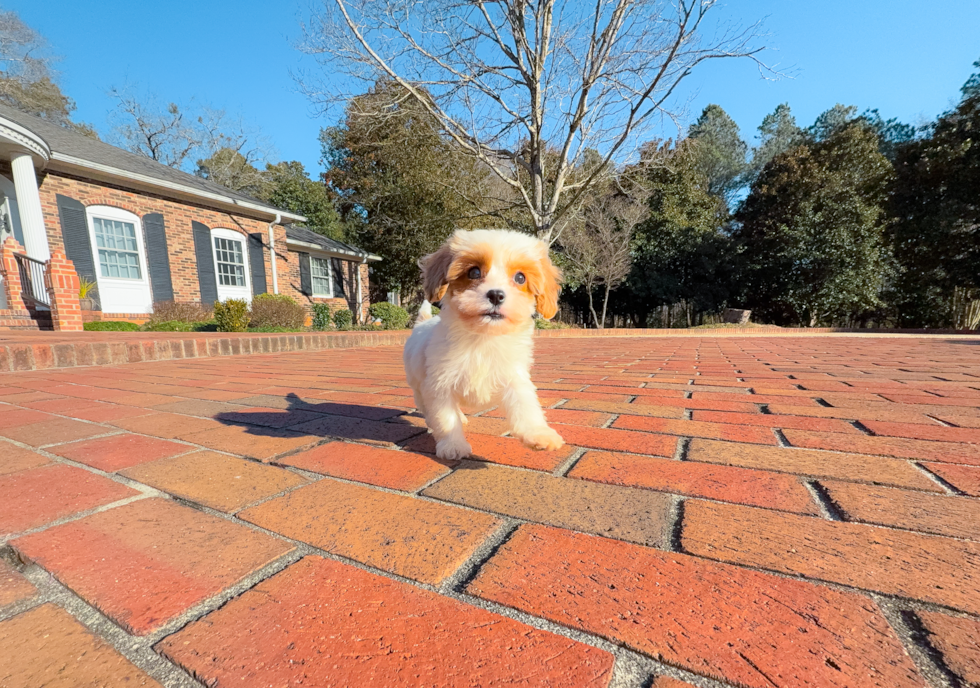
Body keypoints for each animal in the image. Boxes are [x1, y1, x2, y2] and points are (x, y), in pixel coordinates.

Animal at [402, 228, 564, 460]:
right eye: (474, 273)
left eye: (520, 277)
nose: (495, 294)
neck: (483, 338)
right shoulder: (439, 385)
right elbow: (445, 417)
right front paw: (452, 445)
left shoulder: (515, 376)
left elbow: (526, 405)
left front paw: (539, 433)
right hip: (417, 383)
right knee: (425, 405)